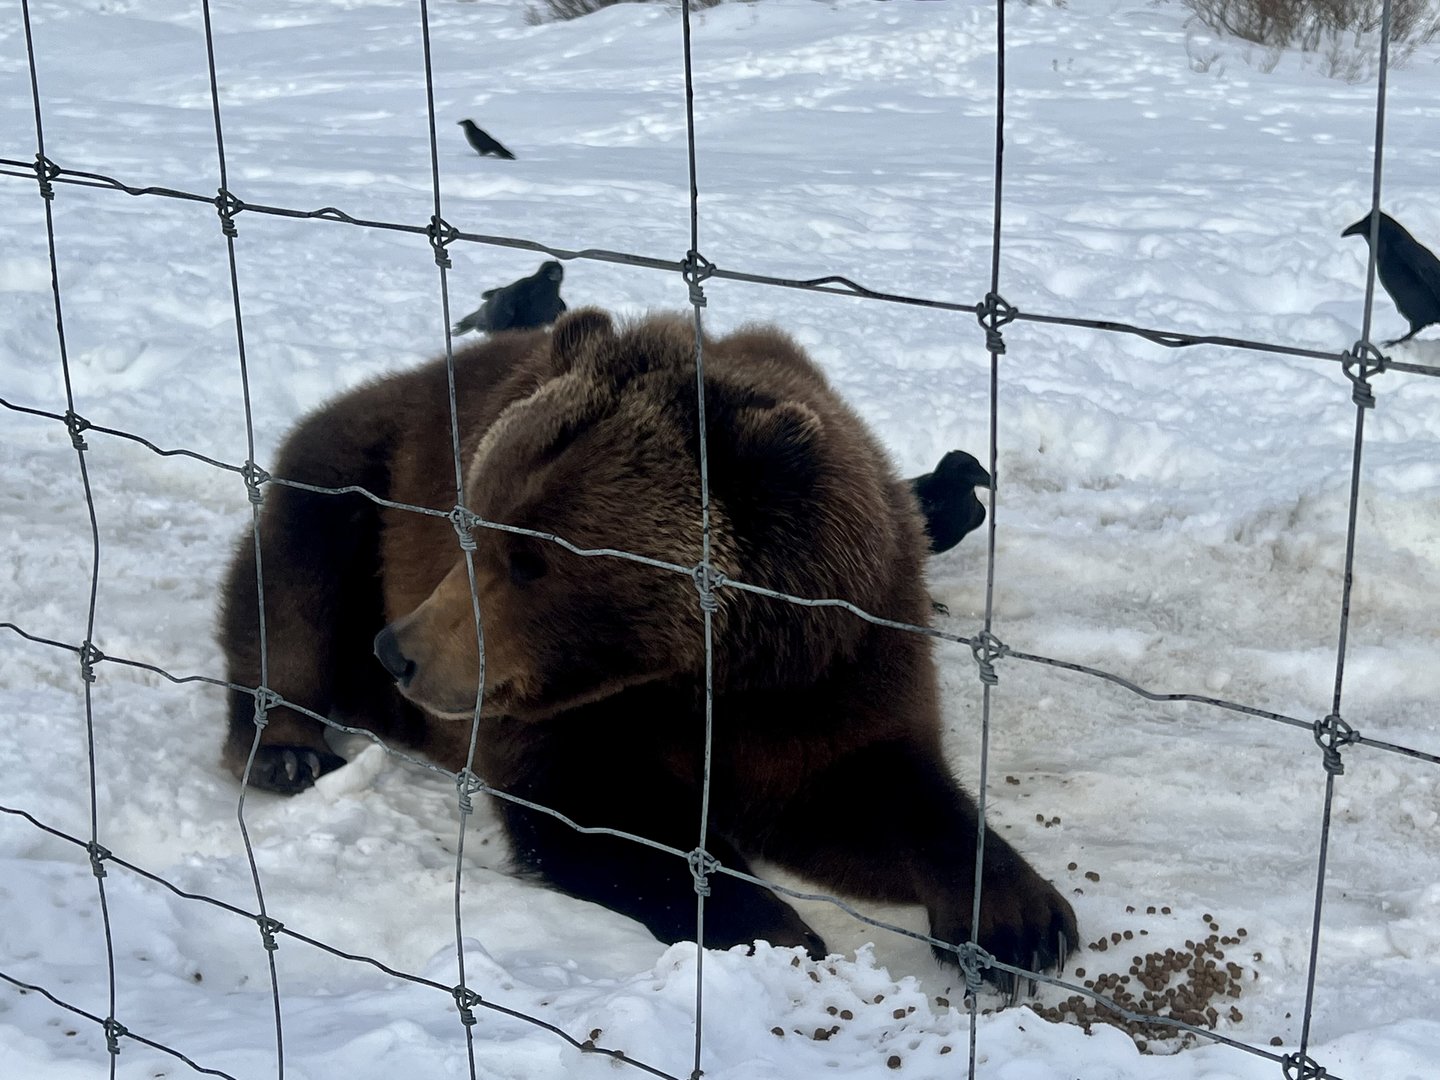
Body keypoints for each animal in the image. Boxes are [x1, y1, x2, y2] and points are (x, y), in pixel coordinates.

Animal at [217, 308, 1076, 985]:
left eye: (530, 560)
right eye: (470, 523)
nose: (401, 652)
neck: (701, 669)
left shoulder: (830, 667)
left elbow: (868, 789)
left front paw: (1024, 924)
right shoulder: (576, 713)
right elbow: (596, 812)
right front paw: (777, 929)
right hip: (357, 478)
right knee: (291, 587)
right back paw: (285, 746)